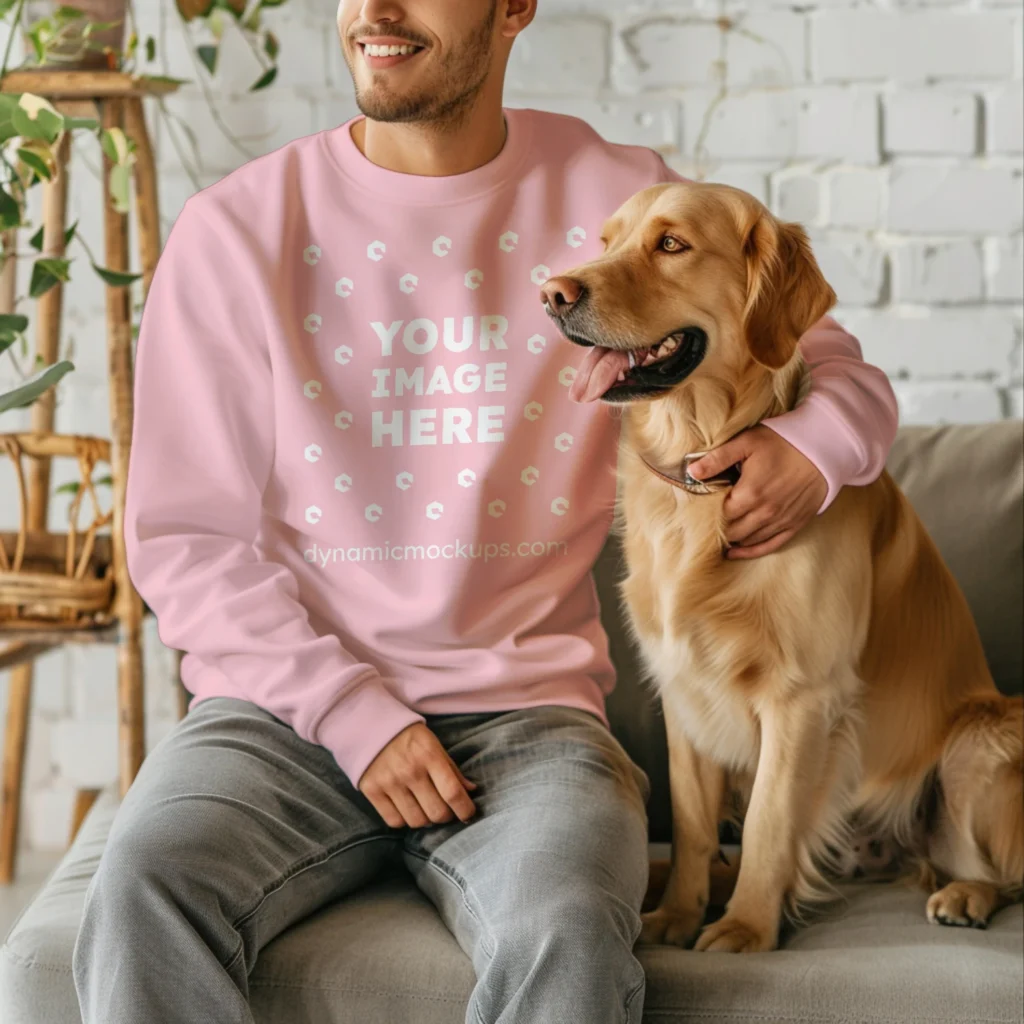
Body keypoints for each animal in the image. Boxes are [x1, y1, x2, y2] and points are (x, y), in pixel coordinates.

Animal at [540, 182, 1019, 950]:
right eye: (606, 241)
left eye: (671, 244)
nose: (553, 294)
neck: (705, 473)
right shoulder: (683, 690)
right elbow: (694, 824)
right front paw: (677, 914)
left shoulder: (803, 697)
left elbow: (768, 819)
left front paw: (744, 930)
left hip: (980, 739)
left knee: (992, 866)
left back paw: (964, 894)